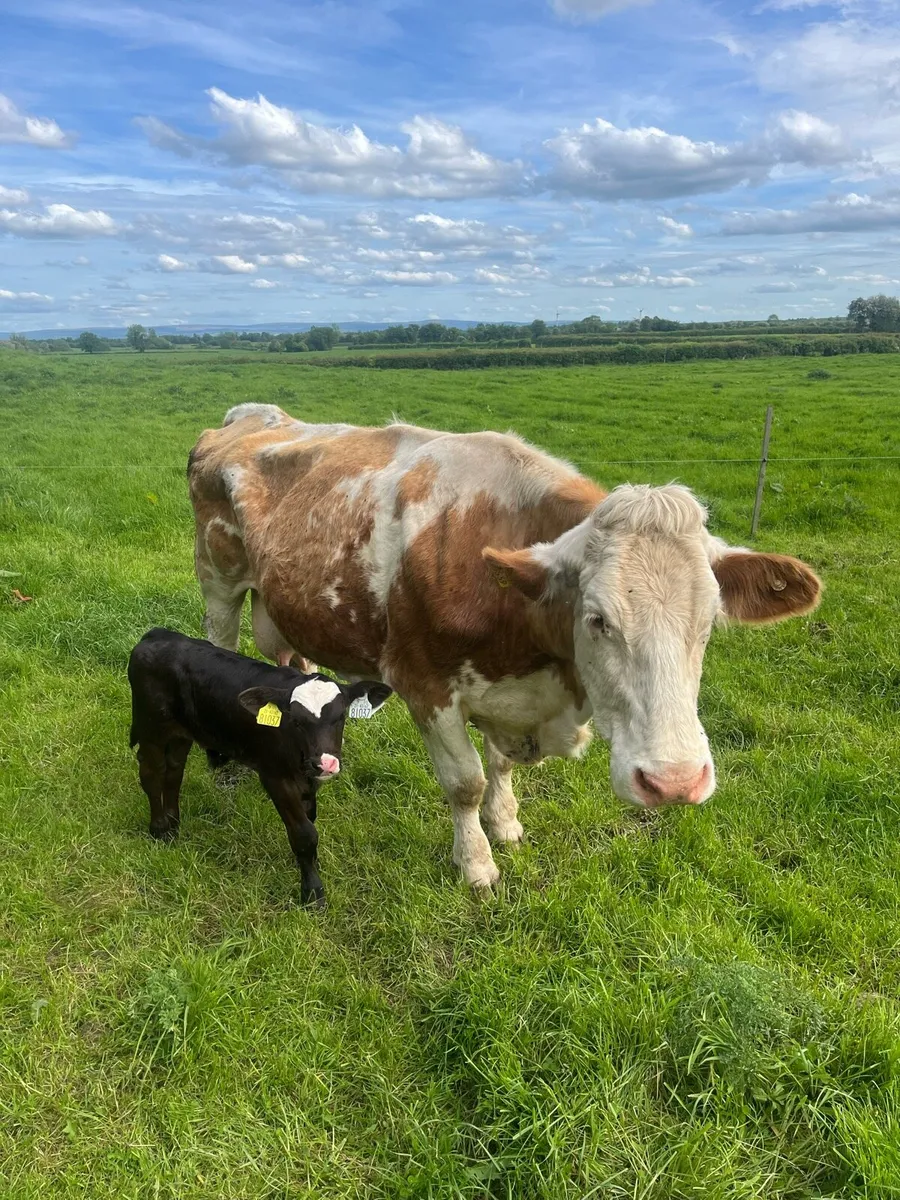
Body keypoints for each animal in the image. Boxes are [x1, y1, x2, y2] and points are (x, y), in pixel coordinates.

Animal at [128, 627, 392, 906]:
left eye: (340, 717)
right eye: (295, 720)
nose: (325, 763)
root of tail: (159, 634)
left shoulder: (309, 781)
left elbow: (309, 821)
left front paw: (310, 866)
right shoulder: (276, 777)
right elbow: (304, 834)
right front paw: (313, 892)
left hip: (181, 733)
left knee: (174, 771)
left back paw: (173, 825)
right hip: (151, 727)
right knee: (152, 772)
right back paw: (159, 829)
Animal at [187, 403, 822, 889]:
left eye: (709, 622)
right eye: (596, 619)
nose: (674, 784)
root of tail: (250, 415)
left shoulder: (507, 692)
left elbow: (499, 764)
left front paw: (506, 823)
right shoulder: (425, 685)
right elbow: (464, 781)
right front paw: (476, 863)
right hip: (218, 580)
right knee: (218, 640)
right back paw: (224, 767)